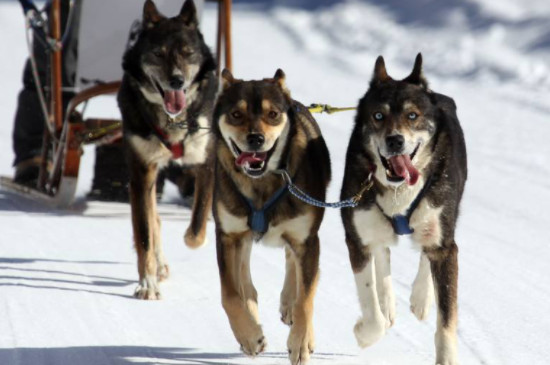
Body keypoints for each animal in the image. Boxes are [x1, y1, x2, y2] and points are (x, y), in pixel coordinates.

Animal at [117, 0, 219, 298]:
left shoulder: (206, 164)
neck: (173, 120)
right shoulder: (141, 173)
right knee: (152, 219)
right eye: (159, 54)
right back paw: (158, 265)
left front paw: (191, 237)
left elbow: (198, 225)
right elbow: (145, 234)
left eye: (187, 53)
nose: (177, 81)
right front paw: (146, 283)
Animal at [211, 69, 332, 364]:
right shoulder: (228, 235)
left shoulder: (306, 239)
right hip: (242, 238)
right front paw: (249, 335)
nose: (255, 138)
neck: (262, 183)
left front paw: (300, 343)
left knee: (296, 273)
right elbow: (230, 295)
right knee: (246, 281)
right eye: (236, 114)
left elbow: (305, 300)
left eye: (273, 114)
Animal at [342, 54, 468, 364]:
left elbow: (447, 319)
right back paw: (387, 302)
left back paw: (421, 297)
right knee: (383, 251)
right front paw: (365, 332)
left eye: (412, 115)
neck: (398, 189)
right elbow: (372, 310)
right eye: (378, 116)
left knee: (426, 250)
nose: (395, 140)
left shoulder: (444, 244)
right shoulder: (357, 238)